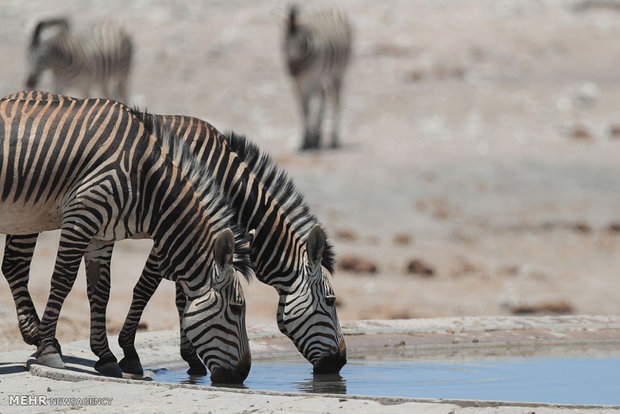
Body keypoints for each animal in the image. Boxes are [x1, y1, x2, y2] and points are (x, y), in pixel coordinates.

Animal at [0, 92, 253, 384]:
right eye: (237, 308)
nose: (242, 375)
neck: (143, 178)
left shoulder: (99, 234)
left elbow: (100, 290)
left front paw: (106, 357)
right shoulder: (81, 217)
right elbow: (63, 280)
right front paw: (50, 350)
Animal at [2, 112, 346, 376]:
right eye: (331, 301)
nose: (340, 363)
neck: (226, 179)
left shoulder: (196, 237)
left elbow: (183, 295)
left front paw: (191, 357)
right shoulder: (173, 232)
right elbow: (147, 288)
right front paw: (130, 352)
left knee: (12, 265)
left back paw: (36, 335)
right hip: (31, 212)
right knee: (16, 265)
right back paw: (37, 336)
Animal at [286, 5, 354, 151]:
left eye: (302, 42)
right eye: (284, 41)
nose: (293, 71)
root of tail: (332, 9)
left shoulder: (311, 80)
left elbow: (308, 108)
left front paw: (309, 141)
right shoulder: (297, 83)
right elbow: (303, 108)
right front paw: (307, 140)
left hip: (336, 74)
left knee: (335, 101)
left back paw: (334, 140)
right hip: (322, 79)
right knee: (324, 97)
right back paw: (319, 137)